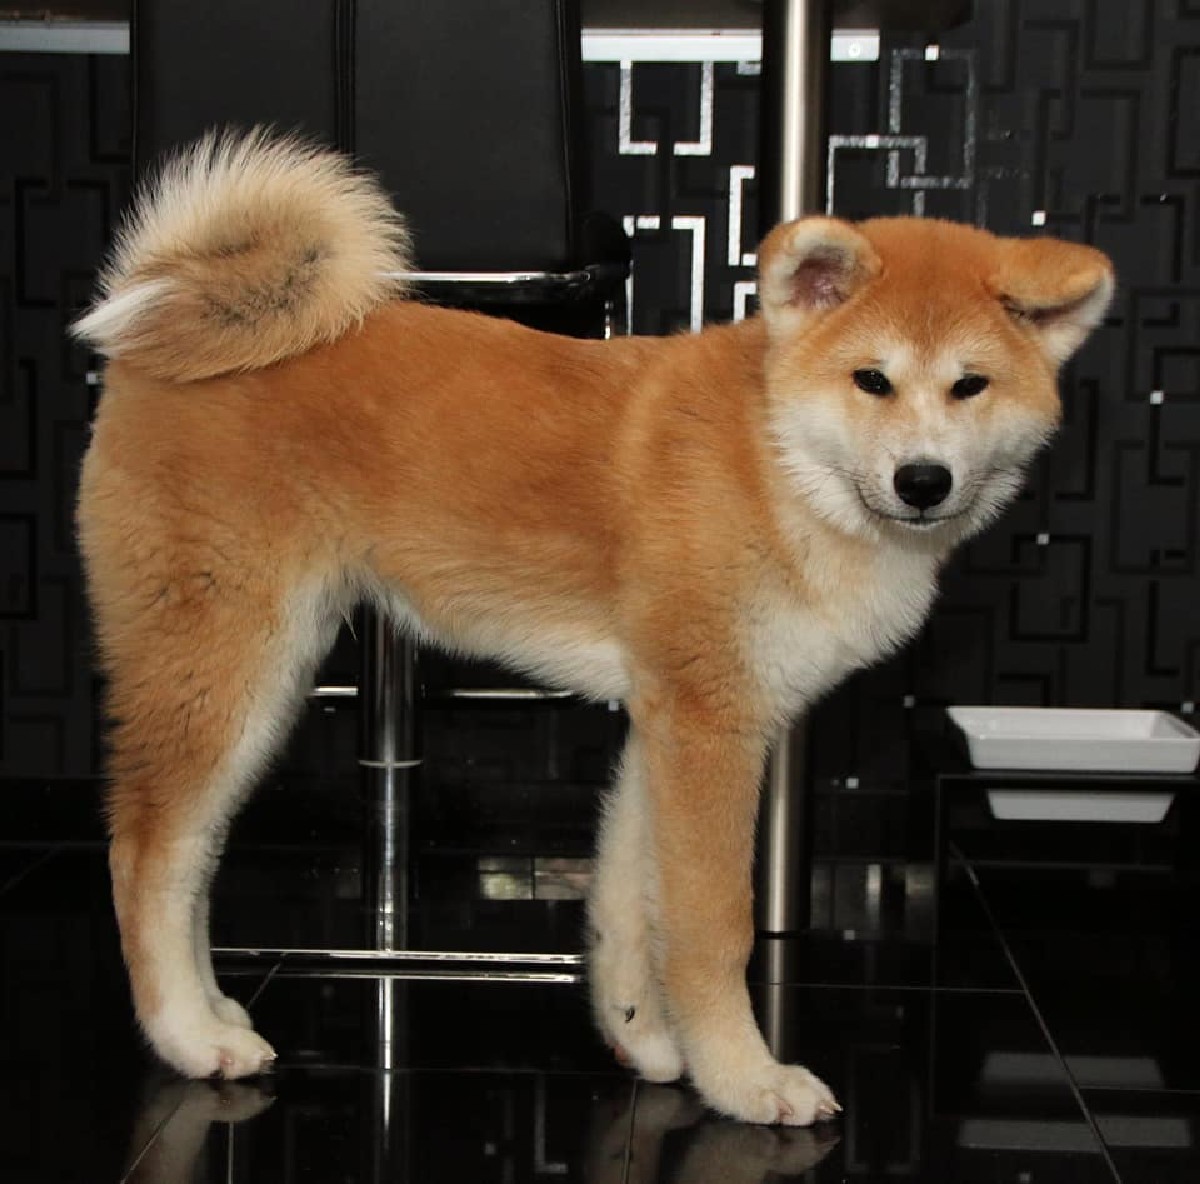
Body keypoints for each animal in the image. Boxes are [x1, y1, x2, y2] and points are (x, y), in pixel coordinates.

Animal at [72, 131, 1113, 1125]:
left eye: (971, 386)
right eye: (872, 381)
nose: (923, 481)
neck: (776, 462)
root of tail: (156, 330)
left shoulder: (668, 715)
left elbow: (630, 905)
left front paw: (642, 1037)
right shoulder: (712, 727)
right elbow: (712, 928)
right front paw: (744, 1081)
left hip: (263, 678)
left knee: (192, 857)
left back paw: (214, 1011)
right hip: (226, 670)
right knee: (144, 855)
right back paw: (184, 1036)